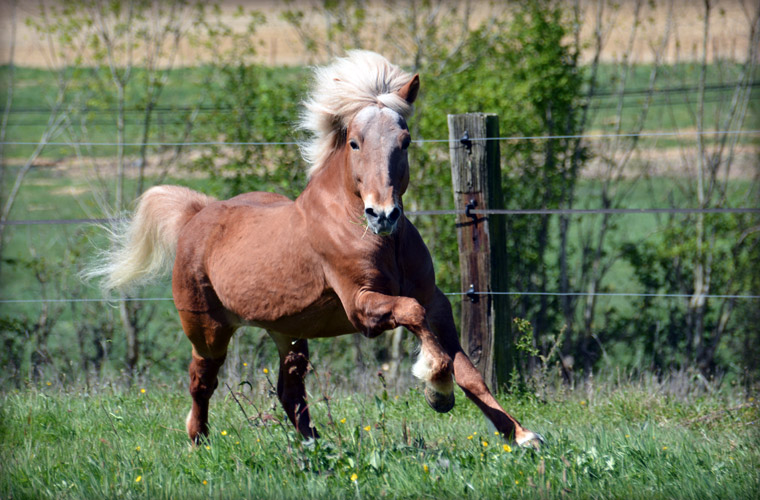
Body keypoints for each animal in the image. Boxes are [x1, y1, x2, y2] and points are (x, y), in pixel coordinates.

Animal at [87, 50, 540, 448]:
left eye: (406, 140)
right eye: (355, 143)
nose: (383, 214)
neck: (375, 238)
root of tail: (197, 215)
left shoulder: (435, 302)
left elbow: (468, 368)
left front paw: (521, 435)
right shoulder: (362, 307)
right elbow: (419, 325)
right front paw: (437, 392)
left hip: (288, 333)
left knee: (289, 392)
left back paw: (314, 445)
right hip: (209, 330)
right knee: (202, 379)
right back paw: (199, 440)